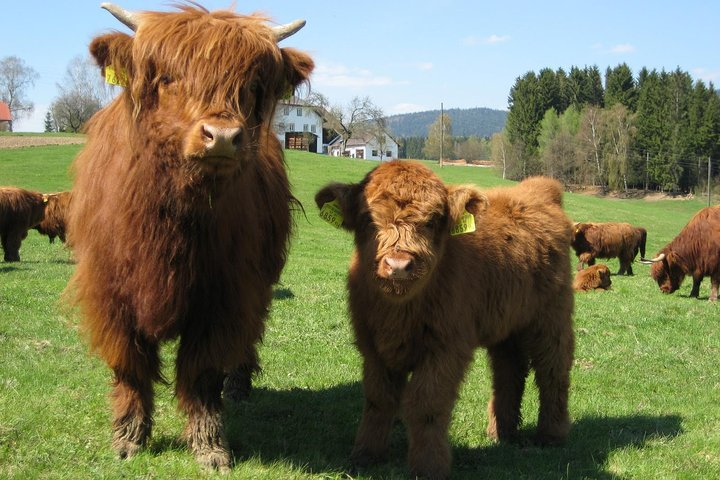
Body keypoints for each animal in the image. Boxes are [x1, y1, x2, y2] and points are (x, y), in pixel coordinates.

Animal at [65, 3, 313, 471]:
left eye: (252, 86)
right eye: (168, 77)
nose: (224, 137)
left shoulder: (224, 296)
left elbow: (202, 373)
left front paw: (210, 446)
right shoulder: (111, 295)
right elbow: (130, 366)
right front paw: (128, 438)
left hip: (260, 281)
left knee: (248, 335)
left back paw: (239, 387)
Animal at [315, 163, 575, 479]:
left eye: (432, 221)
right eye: (368, 218)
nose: (398, 265)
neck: (399, 312)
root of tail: (539, 190)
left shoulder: (446, 348)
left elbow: (427, 404)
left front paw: (429, 466)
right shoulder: (373, 347)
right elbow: (379, 399)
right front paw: (366, 454)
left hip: (552, 319)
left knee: (553, 371)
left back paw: (551, 435)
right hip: (507, 324)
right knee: (509, 372)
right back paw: (501, 433)